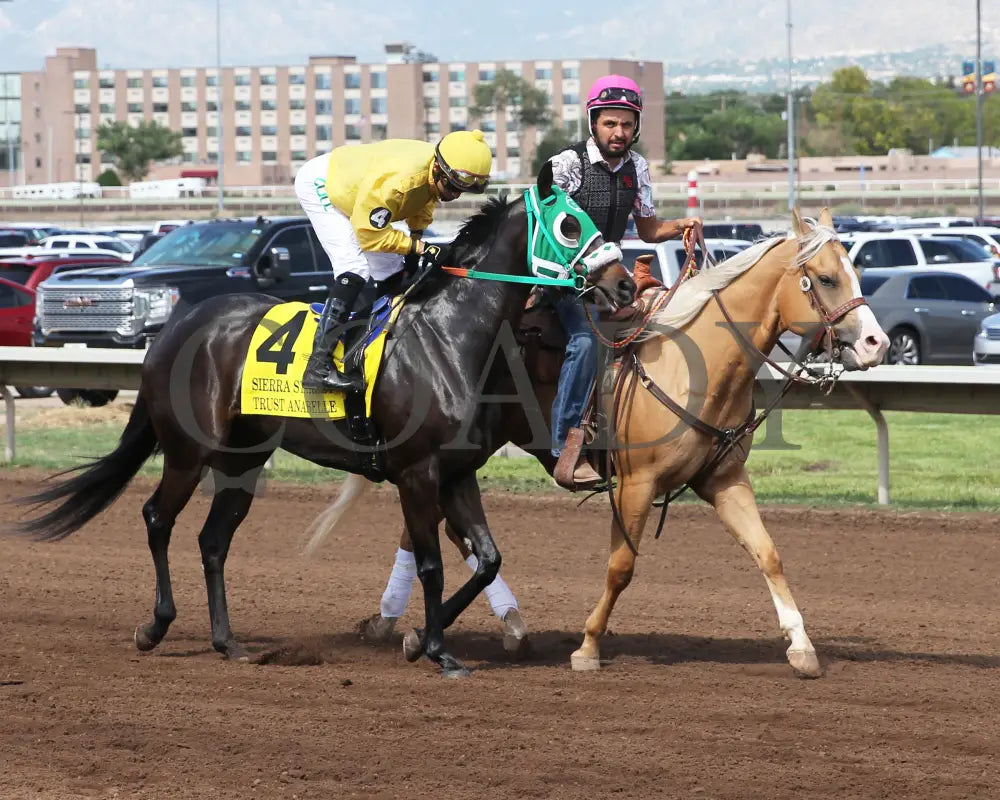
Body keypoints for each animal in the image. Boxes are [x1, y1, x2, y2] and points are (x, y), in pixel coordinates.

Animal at [15, 172, 632, 680]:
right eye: (570, 224)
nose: (625, 286)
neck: (450, 338)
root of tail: (176, 327)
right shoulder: (417, 471)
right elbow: (431, 562)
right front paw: (437, 651)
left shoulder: (456, 473)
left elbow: (487, 559)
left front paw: (417, 638)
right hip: (190, 451)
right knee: (156, 518)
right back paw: (156, 625)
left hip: (243, 458)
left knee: (213, 540)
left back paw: (228, 642)